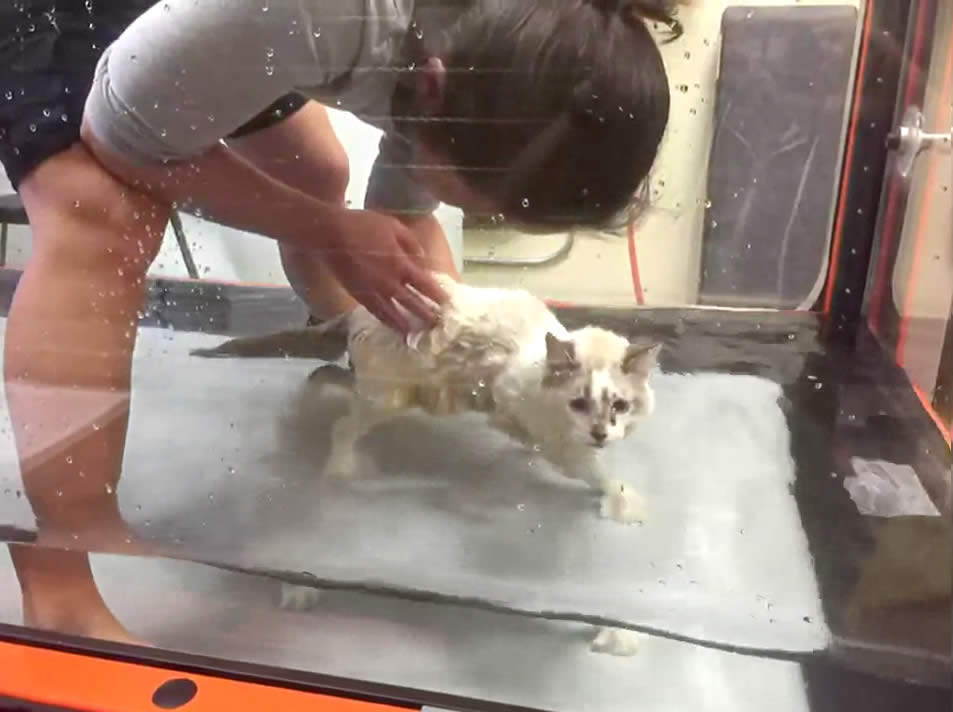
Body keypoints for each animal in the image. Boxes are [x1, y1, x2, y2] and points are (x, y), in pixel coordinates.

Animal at [190, 272, 660, 524]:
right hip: (386, 397)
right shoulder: (518, 406)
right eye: (579, 403)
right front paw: (622, 501)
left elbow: (535, 443)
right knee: (342, 425)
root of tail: (357, 310)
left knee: (326, 373)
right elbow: (592, 470)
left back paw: (309, 398)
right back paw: (342, 470)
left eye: (619, 406)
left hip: (386, 390)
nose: (600, 433)